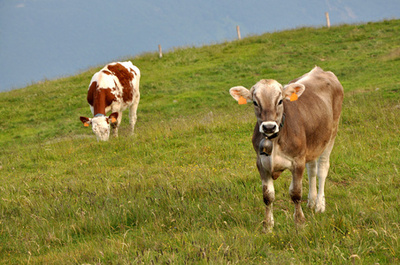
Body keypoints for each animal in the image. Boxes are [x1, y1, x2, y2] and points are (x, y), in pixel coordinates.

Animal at [230, 67, 346, 230]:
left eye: (280, 101)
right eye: (255, 102)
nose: (269, 127)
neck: (274, 140)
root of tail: (320, 70)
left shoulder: (297, 161)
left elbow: (295, 193)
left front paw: (299, 222)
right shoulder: (261, 163)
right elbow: (268, 196)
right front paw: (268, 226)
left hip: (331, 135)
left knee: (322, 169)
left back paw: (319, 205)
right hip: (311, 144)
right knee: (312, 170)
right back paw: (311, 202)